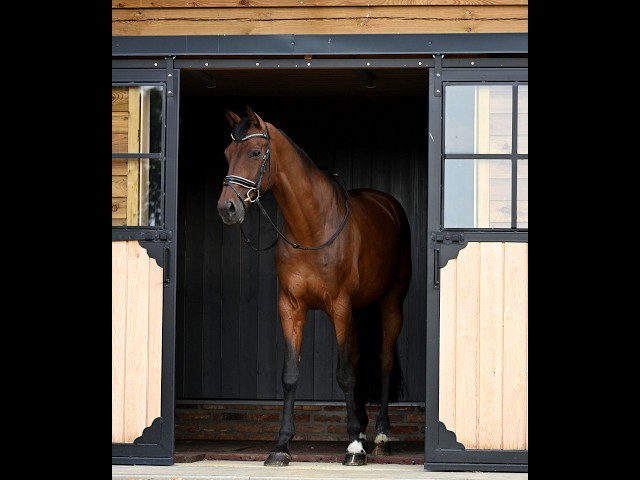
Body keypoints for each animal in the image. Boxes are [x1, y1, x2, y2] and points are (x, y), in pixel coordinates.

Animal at [216, 106, 412, 467]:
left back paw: (379, 436)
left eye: (254, 153)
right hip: (358, 312)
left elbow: (344, 374)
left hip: (390, 304)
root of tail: (388, 205)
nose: (227, 208)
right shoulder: (291, 307)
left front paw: (354, 448)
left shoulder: (339, 306)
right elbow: (291, 375)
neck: (311, 229)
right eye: (226, 154)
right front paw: (281, 446)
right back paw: (363, 429)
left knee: (384, 363)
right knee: (360, 360)